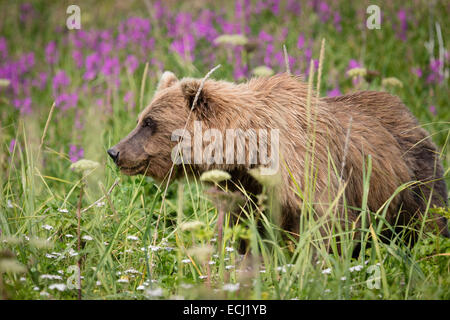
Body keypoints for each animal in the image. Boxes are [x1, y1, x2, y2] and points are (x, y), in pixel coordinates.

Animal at [107, 70, 448, 245]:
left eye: (150, 122)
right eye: (140, 119)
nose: (115, 151)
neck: (249, 151)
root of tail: (409, 113)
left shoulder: (306, 173)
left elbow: (322, 229)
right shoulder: (243, 188)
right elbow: (238, 231)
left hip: (413, 183)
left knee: (431, 221)